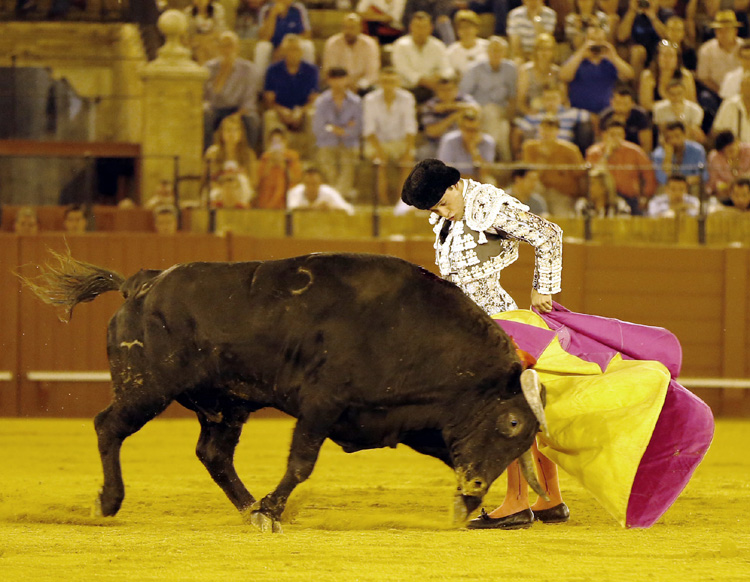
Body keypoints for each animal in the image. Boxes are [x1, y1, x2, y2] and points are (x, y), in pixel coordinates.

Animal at [23, 250, 548, 532]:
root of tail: (140, 284)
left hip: (225, 405)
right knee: (108, 426)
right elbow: (301, 463)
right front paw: (274, 508)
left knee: (213, 454)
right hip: (146, 389)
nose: (476, 489)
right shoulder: (322, 404)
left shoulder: (418, 422)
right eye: (512, 423)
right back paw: (109, 501)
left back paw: (249, 508)